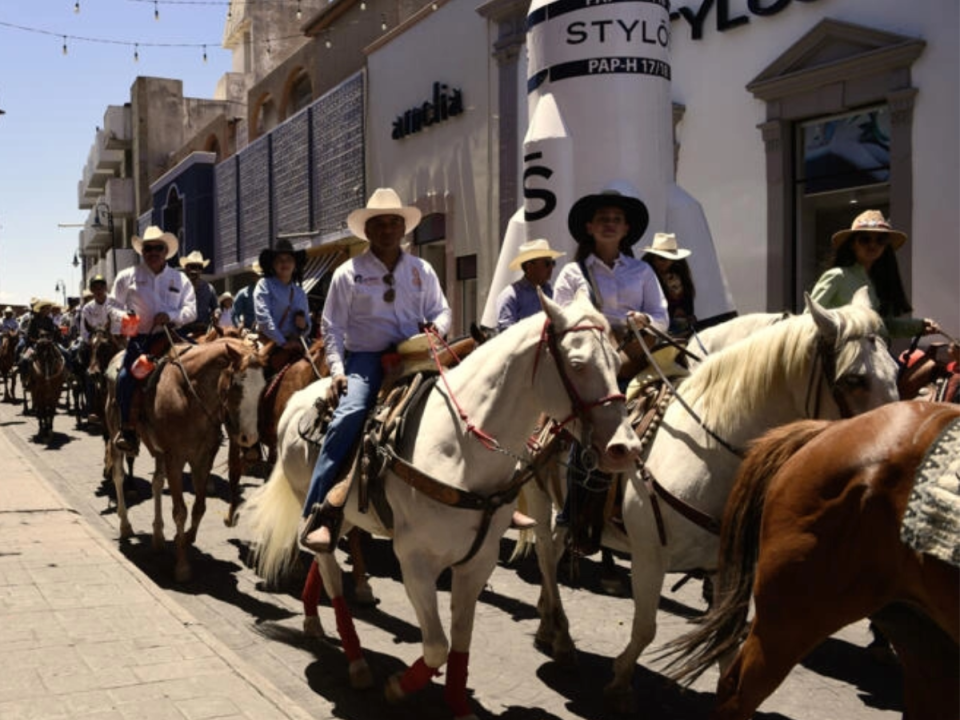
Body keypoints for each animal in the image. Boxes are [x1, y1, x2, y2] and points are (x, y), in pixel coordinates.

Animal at [105, 336, 266, 580]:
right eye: (237, 385)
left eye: (263, 387)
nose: (249, 439)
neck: (189, 396)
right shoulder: (176, 458)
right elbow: (180, 511)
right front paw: (182, 567)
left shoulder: (203, 459)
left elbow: (199, 507)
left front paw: (187, 538)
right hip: (116, 432)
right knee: (118, 475)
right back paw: (125, 525)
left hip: (159, 452)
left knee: (156, 483)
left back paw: (158, 537)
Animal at [244, 292, 640, 720]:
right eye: (579, 365)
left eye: (617, 362)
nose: (625, 448)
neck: (459, 449)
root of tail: (295, 401)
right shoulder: (416, 561)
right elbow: (436, 646)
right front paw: (398, 688)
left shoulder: (478, 561)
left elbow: (460, 638)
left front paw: (457, 704)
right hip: (309, 499)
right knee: (331, 572)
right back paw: (357, 662)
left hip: (348, 516)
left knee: (328, 550)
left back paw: (314, 618)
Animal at [516, 288, 900, 716]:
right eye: (855, 379)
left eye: (896, 370)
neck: (708, 450)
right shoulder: (650, 555)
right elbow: (645, 628)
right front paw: (619, 684)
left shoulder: (724, 566)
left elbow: (727, 643)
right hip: (538, 493)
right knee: (546, 553)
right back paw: (563, 638)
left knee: (555, 550)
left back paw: (548, 625)